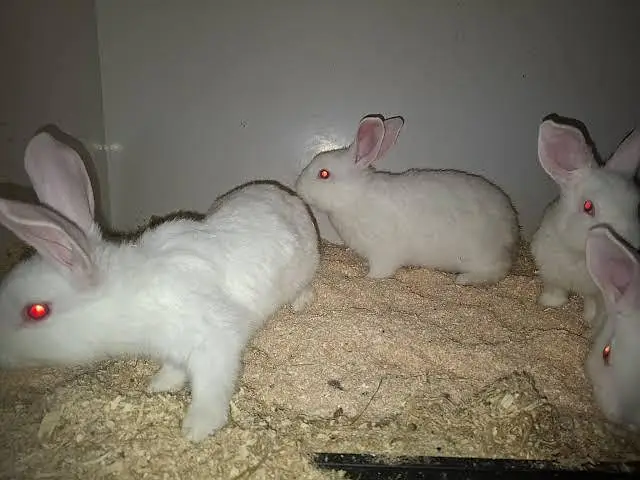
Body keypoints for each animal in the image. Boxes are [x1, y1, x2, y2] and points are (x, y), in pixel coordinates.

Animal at [0, 132, 320, 442]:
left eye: (37, 311)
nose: (2, 353)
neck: (129, 298)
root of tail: (289, 196)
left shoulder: (214, 343)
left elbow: (210, 388)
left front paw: (197, 429)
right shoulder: (175, 348)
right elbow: (175, 368)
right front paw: (159, 385)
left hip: (304, 271)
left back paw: (300, 304)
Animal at [294, 115, 519, 284]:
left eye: (324, 174)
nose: (297, 187)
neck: (356, 197)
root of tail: (512, 228)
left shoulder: (383, 253)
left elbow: (381, 271)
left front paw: (367, 279)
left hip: (482, 254)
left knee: (499, 269)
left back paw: (464, 280)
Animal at [530, 117, 640, 326]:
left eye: (636, 206)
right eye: (588, 206)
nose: (629, 243)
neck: (578, 256)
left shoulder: (597, 292)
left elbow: (591, 304)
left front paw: (589, 319)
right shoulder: (550, 274)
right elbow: (555, 291)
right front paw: (548, 303)